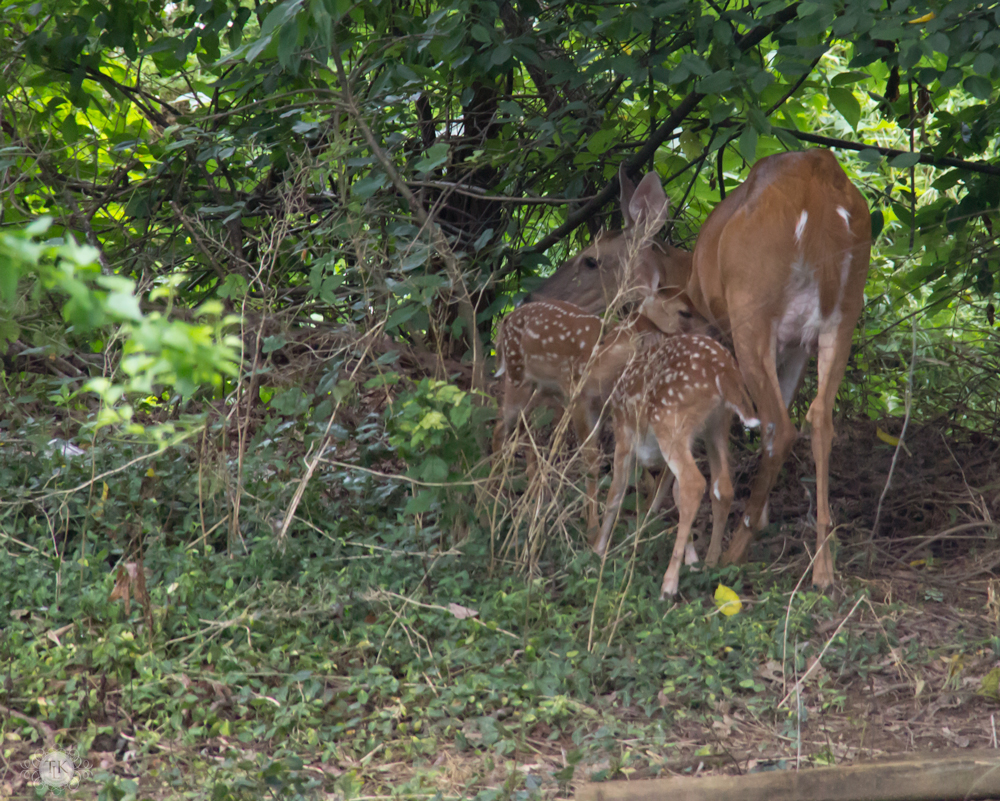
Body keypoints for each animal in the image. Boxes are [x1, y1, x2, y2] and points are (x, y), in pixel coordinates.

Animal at [592, 328, 756, 596]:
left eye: (605, 339)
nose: (591, 364)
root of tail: (723, 371)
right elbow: (671, 492)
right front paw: (691, 560)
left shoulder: (624, 434)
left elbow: (615, 494)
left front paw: (597, 550)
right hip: (716, 425)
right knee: (722, 487)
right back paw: (710, 563)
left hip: (670, 420)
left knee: (694, 482)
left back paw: (668, 585)